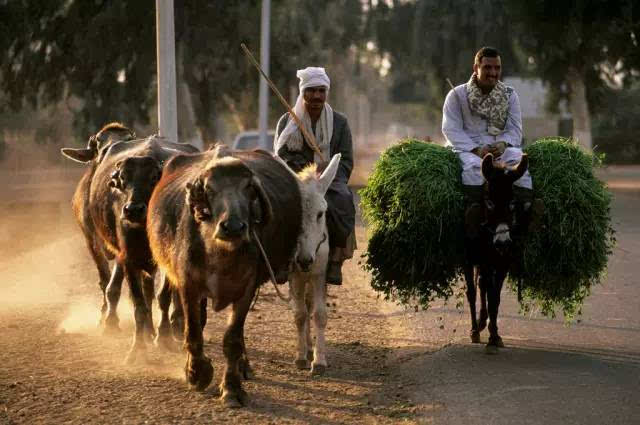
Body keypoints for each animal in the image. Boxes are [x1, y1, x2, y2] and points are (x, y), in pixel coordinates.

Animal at [148, 144, 302, 406]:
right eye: (210, 189)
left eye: (248, 188)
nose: (233, 227)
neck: (220, 255)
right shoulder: (189, 286)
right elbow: (193, 331)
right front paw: (197, 373)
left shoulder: (246, 289)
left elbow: (232, 340)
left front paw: (231, 388)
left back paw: (243, 366)